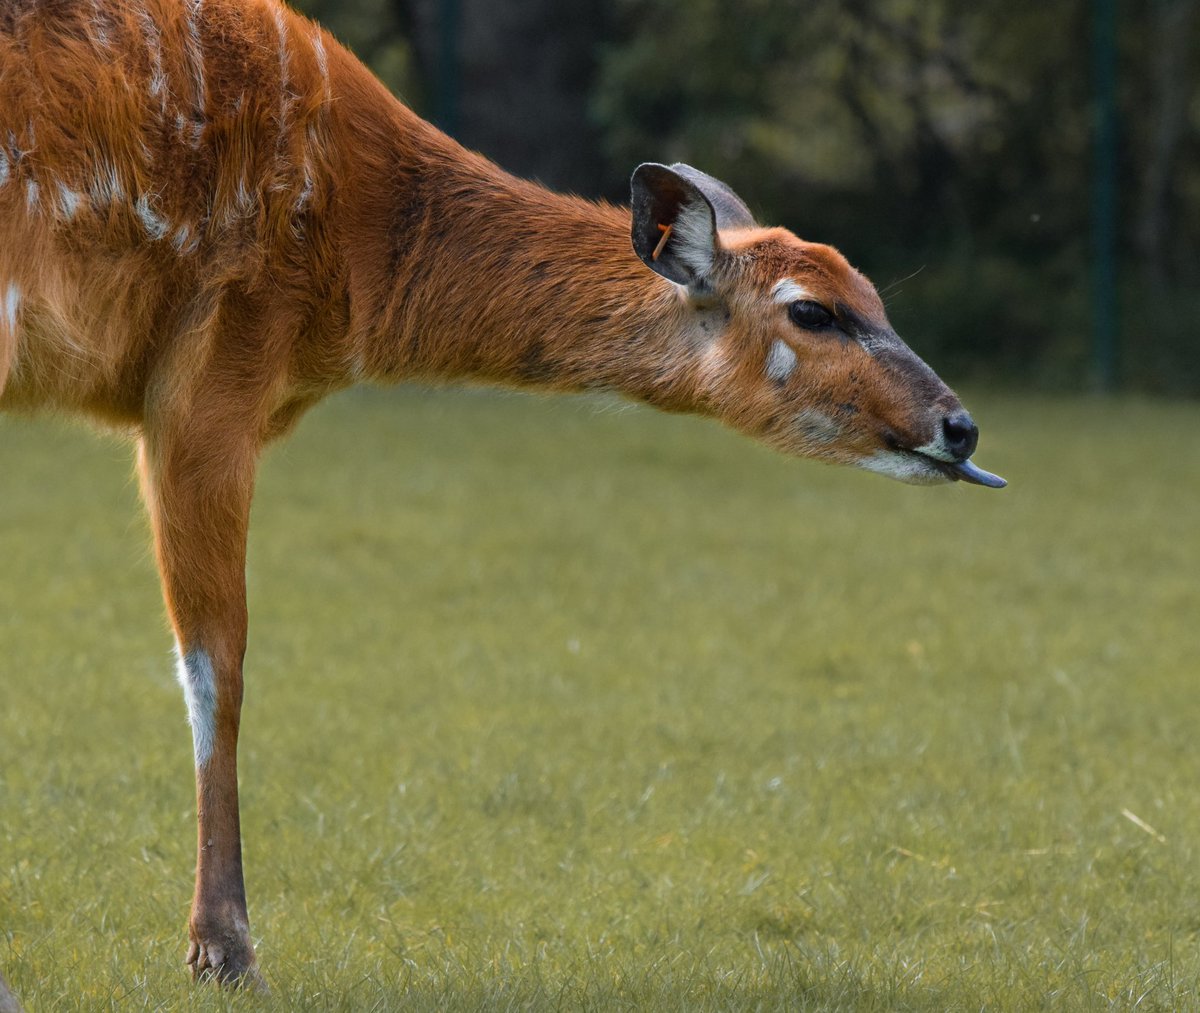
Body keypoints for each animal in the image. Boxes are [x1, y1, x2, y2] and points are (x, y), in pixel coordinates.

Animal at [0, 0, 1005, 991]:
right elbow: (218, 662)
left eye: (876, 293)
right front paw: (224, 951)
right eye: (812, 310)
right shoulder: (209, 378)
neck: (361, 256)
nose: (958, 426)